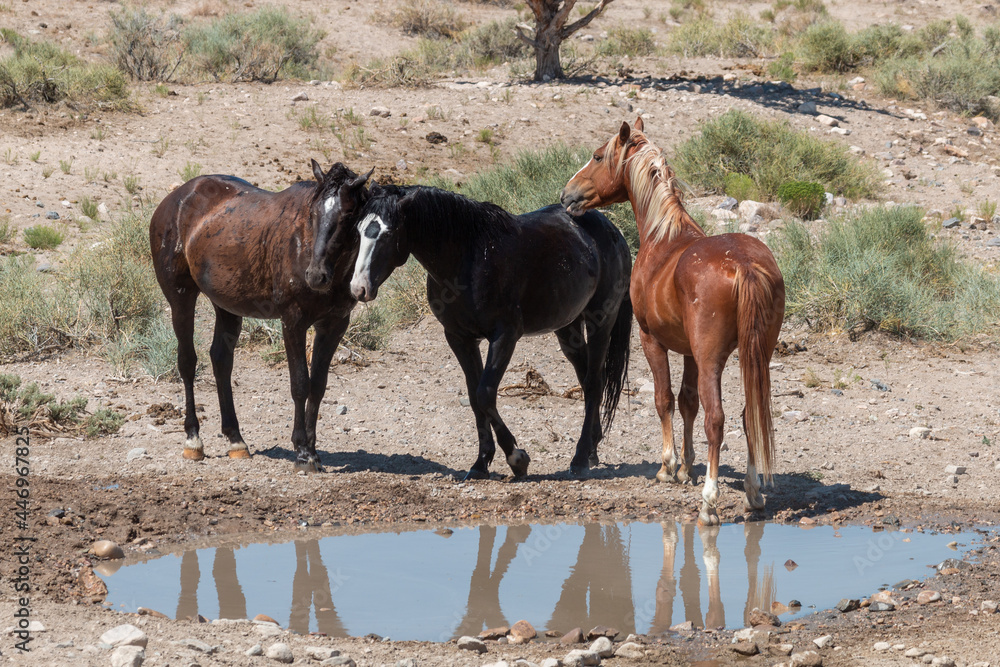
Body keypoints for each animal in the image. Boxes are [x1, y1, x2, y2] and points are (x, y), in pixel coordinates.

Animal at [149, 160, 372, 472]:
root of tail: (176, 199)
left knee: (221, 361)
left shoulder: (334, 325)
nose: (316, 275)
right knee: (187, 363)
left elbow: (318, 386)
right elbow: (300, 384)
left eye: (349, 214)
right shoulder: (293, 322)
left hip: (226, 307)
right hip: (181, 297)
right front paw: (302, 452)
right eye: (314, 213)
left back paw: (236, 440)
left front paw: (313, 451)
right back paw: (193, 440)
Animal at [349, 183, 633, 480]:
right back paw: (592, 449)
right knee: (587, 378)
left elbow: (485, 393)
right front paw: (481, 463)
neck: (468, 258)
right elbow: (475, 398)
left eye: (388, 233)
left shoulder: (505, 336)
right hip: (568, 329)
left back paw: (579, 459)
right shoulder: (459, 338)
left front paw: (517, 458)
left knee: (594, 382)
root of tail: (611, 230)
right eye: (359, 231)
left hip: (601, 320)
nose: (359, 288)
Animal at [561, 117, 785, 525]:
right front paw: (686, 468)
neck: (663, 237)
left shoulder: (652, 340)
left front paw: (668, 467)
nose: (567, 195)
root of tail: (745, 265)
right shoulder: (690, 353)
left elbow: (664, 399)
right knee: (749, 417)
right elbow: (687, 402)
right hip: (754, 355)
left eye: (598, 156)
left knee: (717, 420)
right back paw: (753, 493)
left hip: (713, 358)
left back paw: (709, 503)